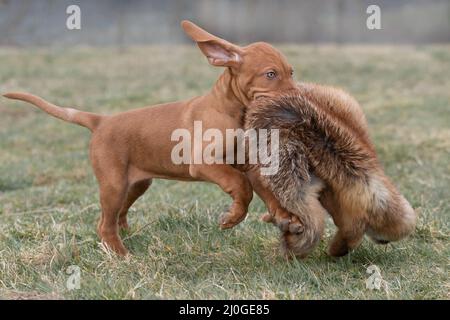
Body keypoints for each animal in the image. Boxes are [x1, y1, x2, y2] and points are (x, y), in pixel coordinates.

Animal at [4, 20, 298, 255]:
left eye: (291, 72)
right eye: (270, 74)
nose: (297, 98)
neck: (232, 111)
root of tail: (101, 120)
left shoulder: (249, 164)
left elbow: (266, 191)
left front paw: (286, 217)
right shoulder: (205, 163)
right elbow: (240, 186)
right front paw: (232, 218)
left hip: (135, 184)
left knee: (117, 214)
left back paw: (125, 235)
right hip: (113, 184)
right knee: (104, 223)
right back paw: (120, 254)